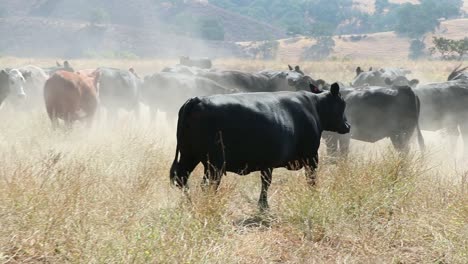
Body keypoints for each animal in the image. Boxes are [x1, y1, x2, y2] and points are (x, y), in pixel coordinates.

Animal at [170, 83, 350, 209]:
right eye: (342, 104)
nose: (348, 126)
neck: (314, 107)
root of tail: (196, 99)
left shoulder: (267, 162)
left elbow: (265, 182)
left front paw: (263, 205)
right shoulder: (312, 156)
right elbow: (311, 180)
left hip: (189, 155)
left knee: (182, 178)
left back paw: (189, 204)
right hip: (214, 163)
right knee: (207, 185)